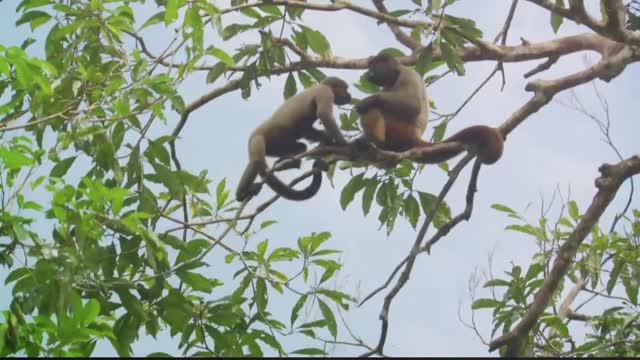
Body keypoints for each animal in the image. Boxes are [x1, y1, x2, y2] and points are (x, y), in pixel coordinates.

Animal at [358, 52, 502, 165]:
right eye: (370, 67)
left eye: (374, 66)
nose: (368, 73)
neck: (395, 75)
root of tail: (415, 137)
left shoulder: (409, 73)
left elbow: (413, 105)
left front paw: (365, 101)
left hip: (400, 129)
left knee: (374, 108)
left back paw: (375, 141)